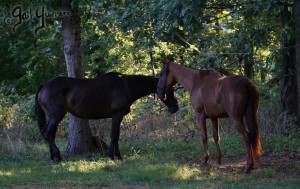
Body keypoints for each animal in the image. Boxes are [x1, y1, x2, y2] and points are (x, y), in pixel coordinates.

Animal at [35, 71, 178, 162]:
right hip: (56, 115)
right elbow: (114, 135)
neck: (127, 85)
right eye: (170, 90)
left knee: (50, 135)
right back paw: (57, 155)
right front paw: (113, 156)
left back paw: (54, 157)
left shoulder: (118, 116)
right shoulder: (117, 115)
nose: (175, 108)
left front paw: (116, 156)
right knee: (47, 133)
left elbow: (116, 136)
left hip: (54, 117)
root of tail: (44, 86)